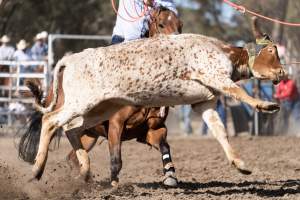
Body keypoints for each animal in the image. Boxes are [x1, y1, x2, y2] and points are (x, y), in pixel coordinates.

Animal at [18, 6, 183, 188]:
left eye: (180, 25)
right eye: (161, 24)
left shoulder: (153, 128)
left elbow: (164, 146)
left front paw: (170, 176)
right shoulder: (115, 124)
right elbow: (116, 160)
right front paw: (114, 186)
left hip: (89, 133)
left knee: (71, 149)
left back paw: (84, 177)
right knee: (51, 123)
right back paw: (37, 171)